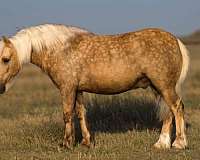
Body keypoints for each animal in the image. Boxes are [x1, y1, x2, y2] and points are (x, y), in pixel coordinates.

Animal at [0, 23, 189, 149]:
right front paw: (86, 142)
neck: (60, 49)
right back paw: (161, 144)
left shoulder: (67, 88)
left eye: (5, 59)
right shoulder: (78, 90)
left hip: (164, 86)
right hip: (159, 88)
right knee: (168, 112)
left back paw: (179, 143)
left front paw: (66, 144)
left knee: (176, 107)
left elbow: (67, 114)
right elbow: (81, 114)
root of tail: (175, 40)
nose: (1, 88)